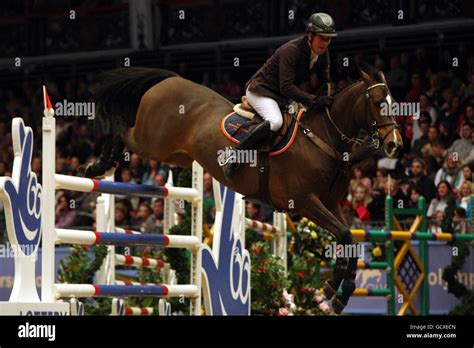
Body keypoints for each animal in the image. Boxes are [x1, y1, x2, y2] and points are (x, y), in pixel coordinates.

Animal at [83, 63, 402, 316]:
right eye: (377, 102)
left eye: (394, 101)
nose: (394, 145)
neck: (322, 139)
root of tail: (171, 79)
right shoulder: (304, 202)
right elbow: (345, 235)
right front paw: (335, 286)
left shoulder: (331, 204)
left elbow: (349, 238)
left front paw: (339, 292)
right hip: (152, 140)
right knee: (122, 130)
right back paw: (98, 165)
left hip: (176, 154)